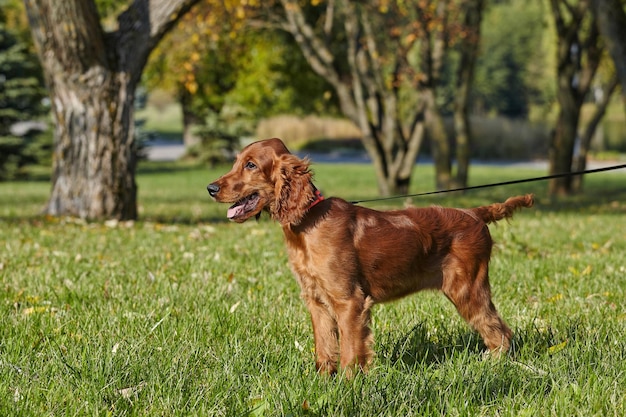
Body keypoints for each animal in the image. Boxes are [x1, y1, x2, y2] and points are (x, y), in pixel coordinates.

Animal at [208, 138, 532, 376]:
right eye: (236, 162)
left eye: (251, 165)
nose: (210, 188)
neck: (307, 222)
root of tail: (474, 213)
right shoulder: (316, 300)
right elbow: (325, 347)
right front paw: (322, 382)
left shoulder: (349, 300)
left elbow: (351, 351)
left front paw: (348, 386)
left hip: (466, 287)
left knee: (500, 331)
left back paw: (494, 366)